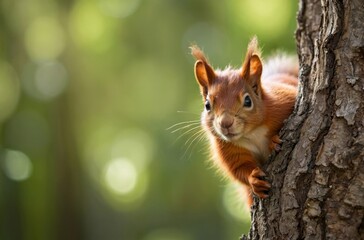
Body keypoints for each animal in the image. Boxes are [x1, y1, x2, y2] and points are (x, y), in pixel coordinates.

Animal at [189, 36, 298, 207]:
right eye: (207, 105)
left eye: (248, 101)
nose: (225, 123)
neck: (251, 133)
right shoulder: (227, 148)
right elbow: (239, 169)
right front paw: (253, 179)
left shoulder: (284, 101)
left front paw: (274, 140)